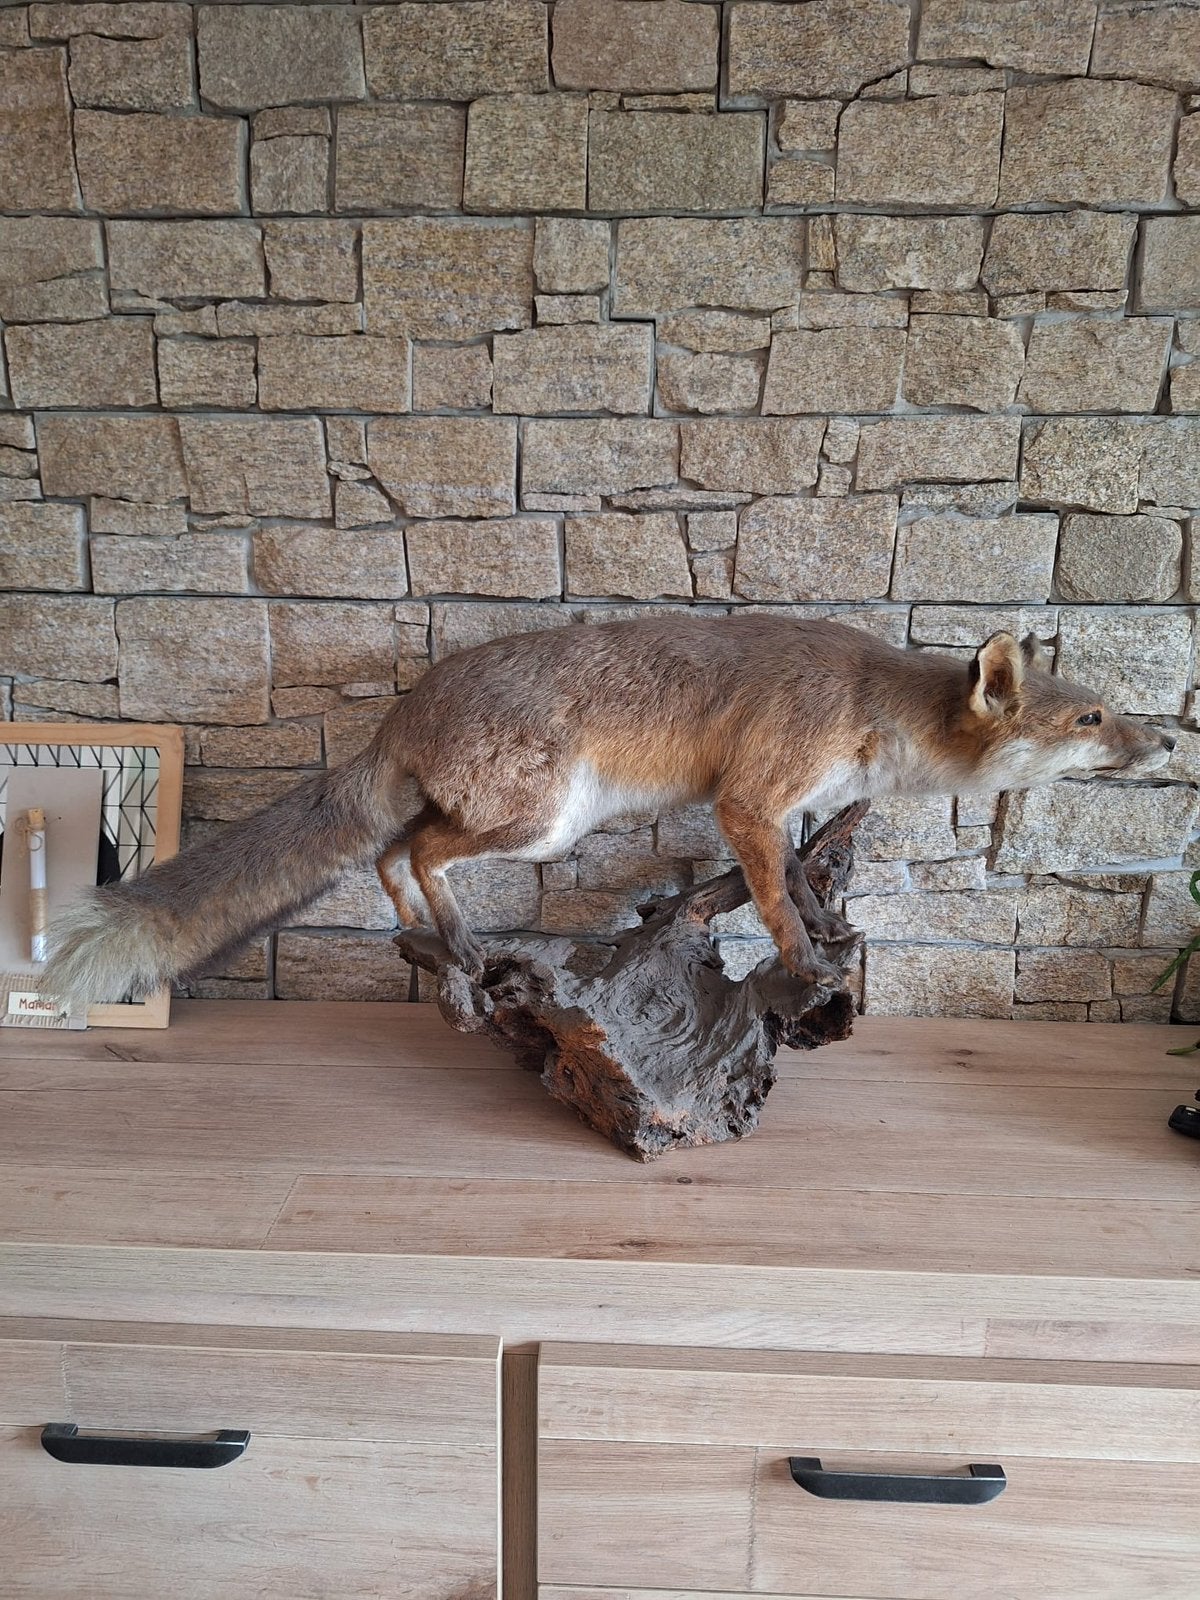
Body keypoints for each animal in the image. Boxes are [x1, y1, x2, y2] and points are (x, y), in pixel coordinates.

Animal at [43, 614, 1174, 1007]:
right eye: (1093, 715)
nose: (1167, 743)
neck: (865, 709)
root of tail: (410, 706)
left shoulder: (794, 811)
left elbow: (804, 879)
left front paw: (831, 929)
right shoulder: (749, 800)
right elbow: (772, 902)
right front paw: (806, 964)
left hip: (527, 821)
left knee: (393, 852)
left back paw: (431, 939)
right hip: (544, 821)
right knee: (417, 849)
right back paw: (458, 942)